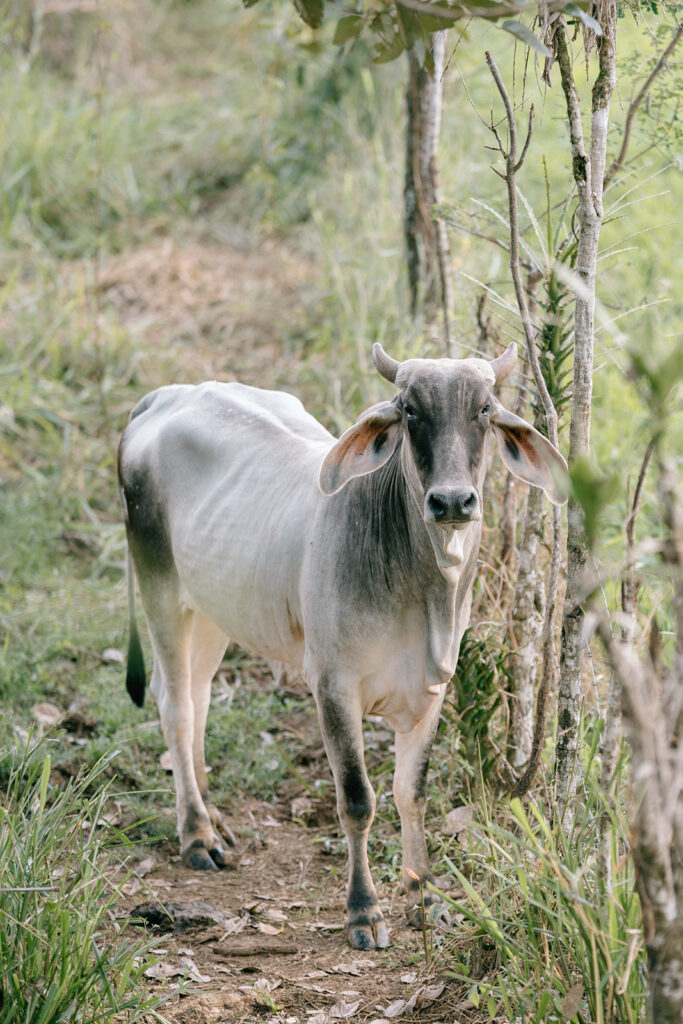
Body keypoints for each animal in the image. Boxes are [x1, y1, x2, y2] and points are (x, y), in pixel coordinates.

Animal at [118, 343, 567, 950]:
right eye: (409, 410)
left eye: (484, 409)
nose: (452, 501)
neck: (424, 590)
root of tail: (166, 396)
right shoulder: (332, 686)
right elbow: (358, 800)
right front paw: (364, 911)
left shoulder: (432, 690)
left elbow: (411, 792)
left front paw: (426, 898)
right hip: (160, 587)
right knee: (176, 706)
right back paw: (197, 835)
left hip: (213, 611)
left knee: (199, 697)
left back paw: (213, 816)